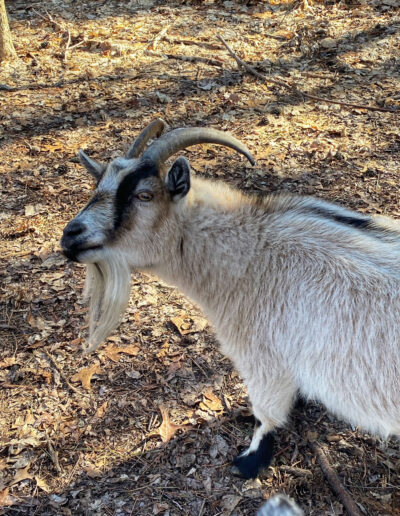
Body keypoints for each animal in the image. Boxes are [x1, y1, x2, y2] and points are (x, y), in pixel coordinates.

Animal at [61, 118, 400, 480]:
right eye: (97, 188)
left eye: (144, 195)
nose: (70, 236)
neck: (254, 255)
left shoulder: (263, 359)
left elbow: (267, 413)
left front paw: (250, 460)